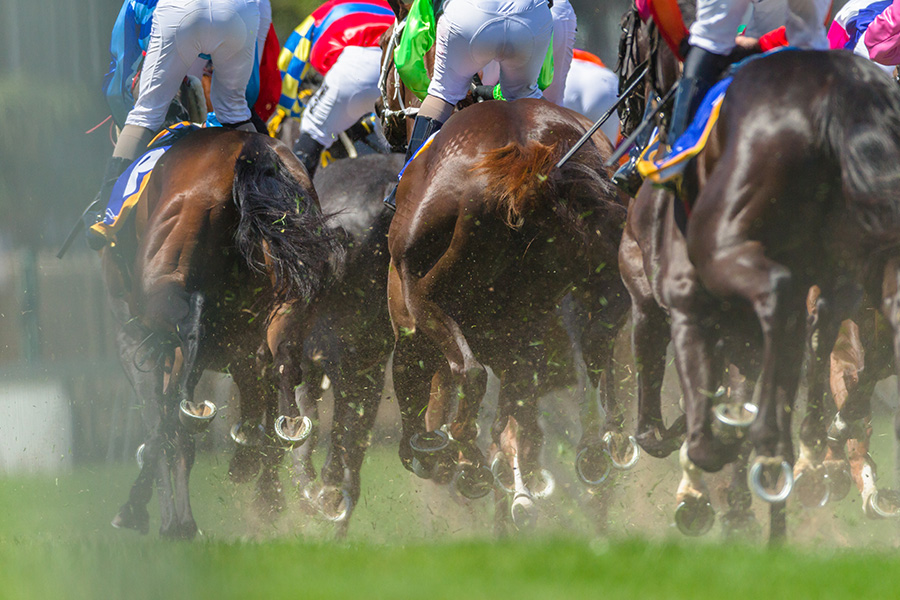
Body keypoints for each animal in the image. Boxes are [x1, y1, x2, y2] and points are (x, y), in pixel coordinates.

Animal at [103, 127, 342, 540]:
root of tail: (251, 149)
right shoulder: (239, 347)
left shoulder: (132, 339)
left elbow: (159, 423)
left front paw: (148, 513)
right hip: (291, 295)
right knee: (282, 361)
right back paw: (285, 433)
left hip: (162, 289)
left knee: (189, 337)